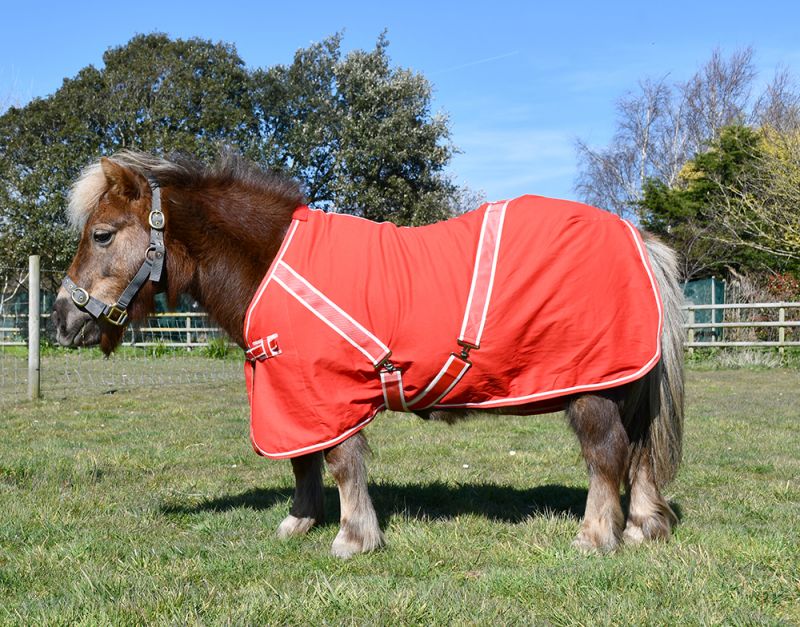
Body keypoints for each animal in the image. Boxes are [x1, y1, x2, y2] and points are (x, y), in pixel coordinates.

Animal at [53, 150, 684, 558]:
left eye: (103, 234)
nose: (61, 318)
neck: (271, 262)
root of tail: (638, 239)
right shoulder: (292, 395)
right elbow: (303, 460)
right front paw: (299, 522)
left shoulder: (325, 391)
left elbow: (341, 462)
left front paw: (353, 537)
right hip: (627, 386)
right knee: (640, 453)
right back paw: (642, 527)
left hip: (593, 388)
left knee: (607, 455)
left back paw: (595, 536)